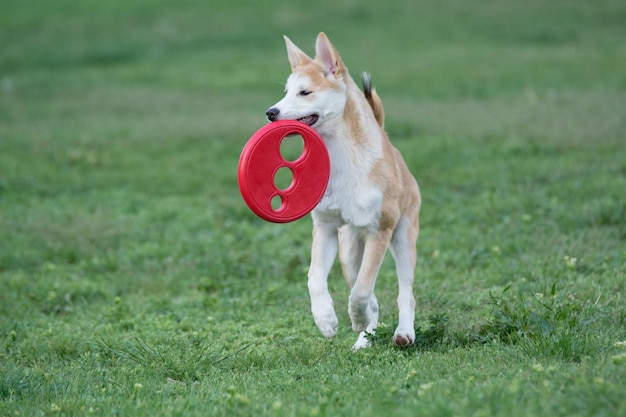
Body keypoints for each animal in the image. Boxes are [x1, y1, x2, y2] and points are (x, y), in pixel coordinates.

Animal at [264, 32, 420, 348]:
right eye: (286, 91)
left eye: (305, 93)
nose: (271, 112)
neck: (340, 156)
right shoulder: (324, 228)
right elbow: (315, 278)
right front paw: (325, 320)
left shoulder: (380, 231)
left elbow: (361, 291)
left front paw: (356, 317)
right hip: (348, 248)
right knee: (366, 289)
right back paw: (364, 338)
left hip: (402, 236)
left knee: (404, 292)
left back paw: (403, 332)